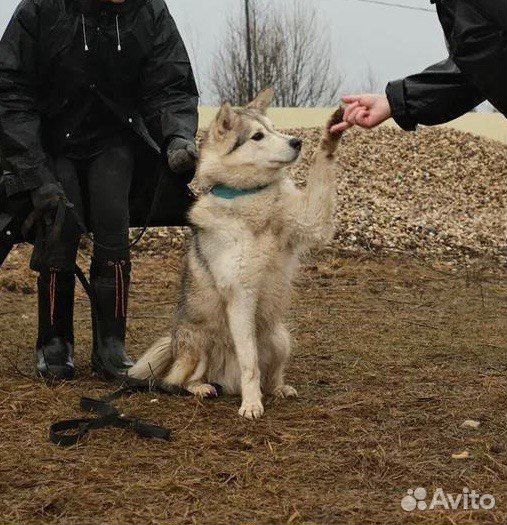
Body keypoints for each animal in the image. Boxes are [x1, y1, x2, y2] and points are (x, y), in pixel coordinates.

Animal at [129, 89, 348, 418]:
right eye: (257, 136)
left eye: (274, 128)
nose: (296, 142)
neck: (251, 197)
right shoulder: (241, 293)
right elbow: (249, 362)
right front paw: (252, 404)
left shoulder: (312, 220)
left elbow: (322, 168)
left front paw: (331, 131)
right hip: (200, 343)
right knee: (176, 382)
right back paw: (204, 388)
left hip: (279, 339)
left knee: (272, 373)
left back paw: (278, 388)